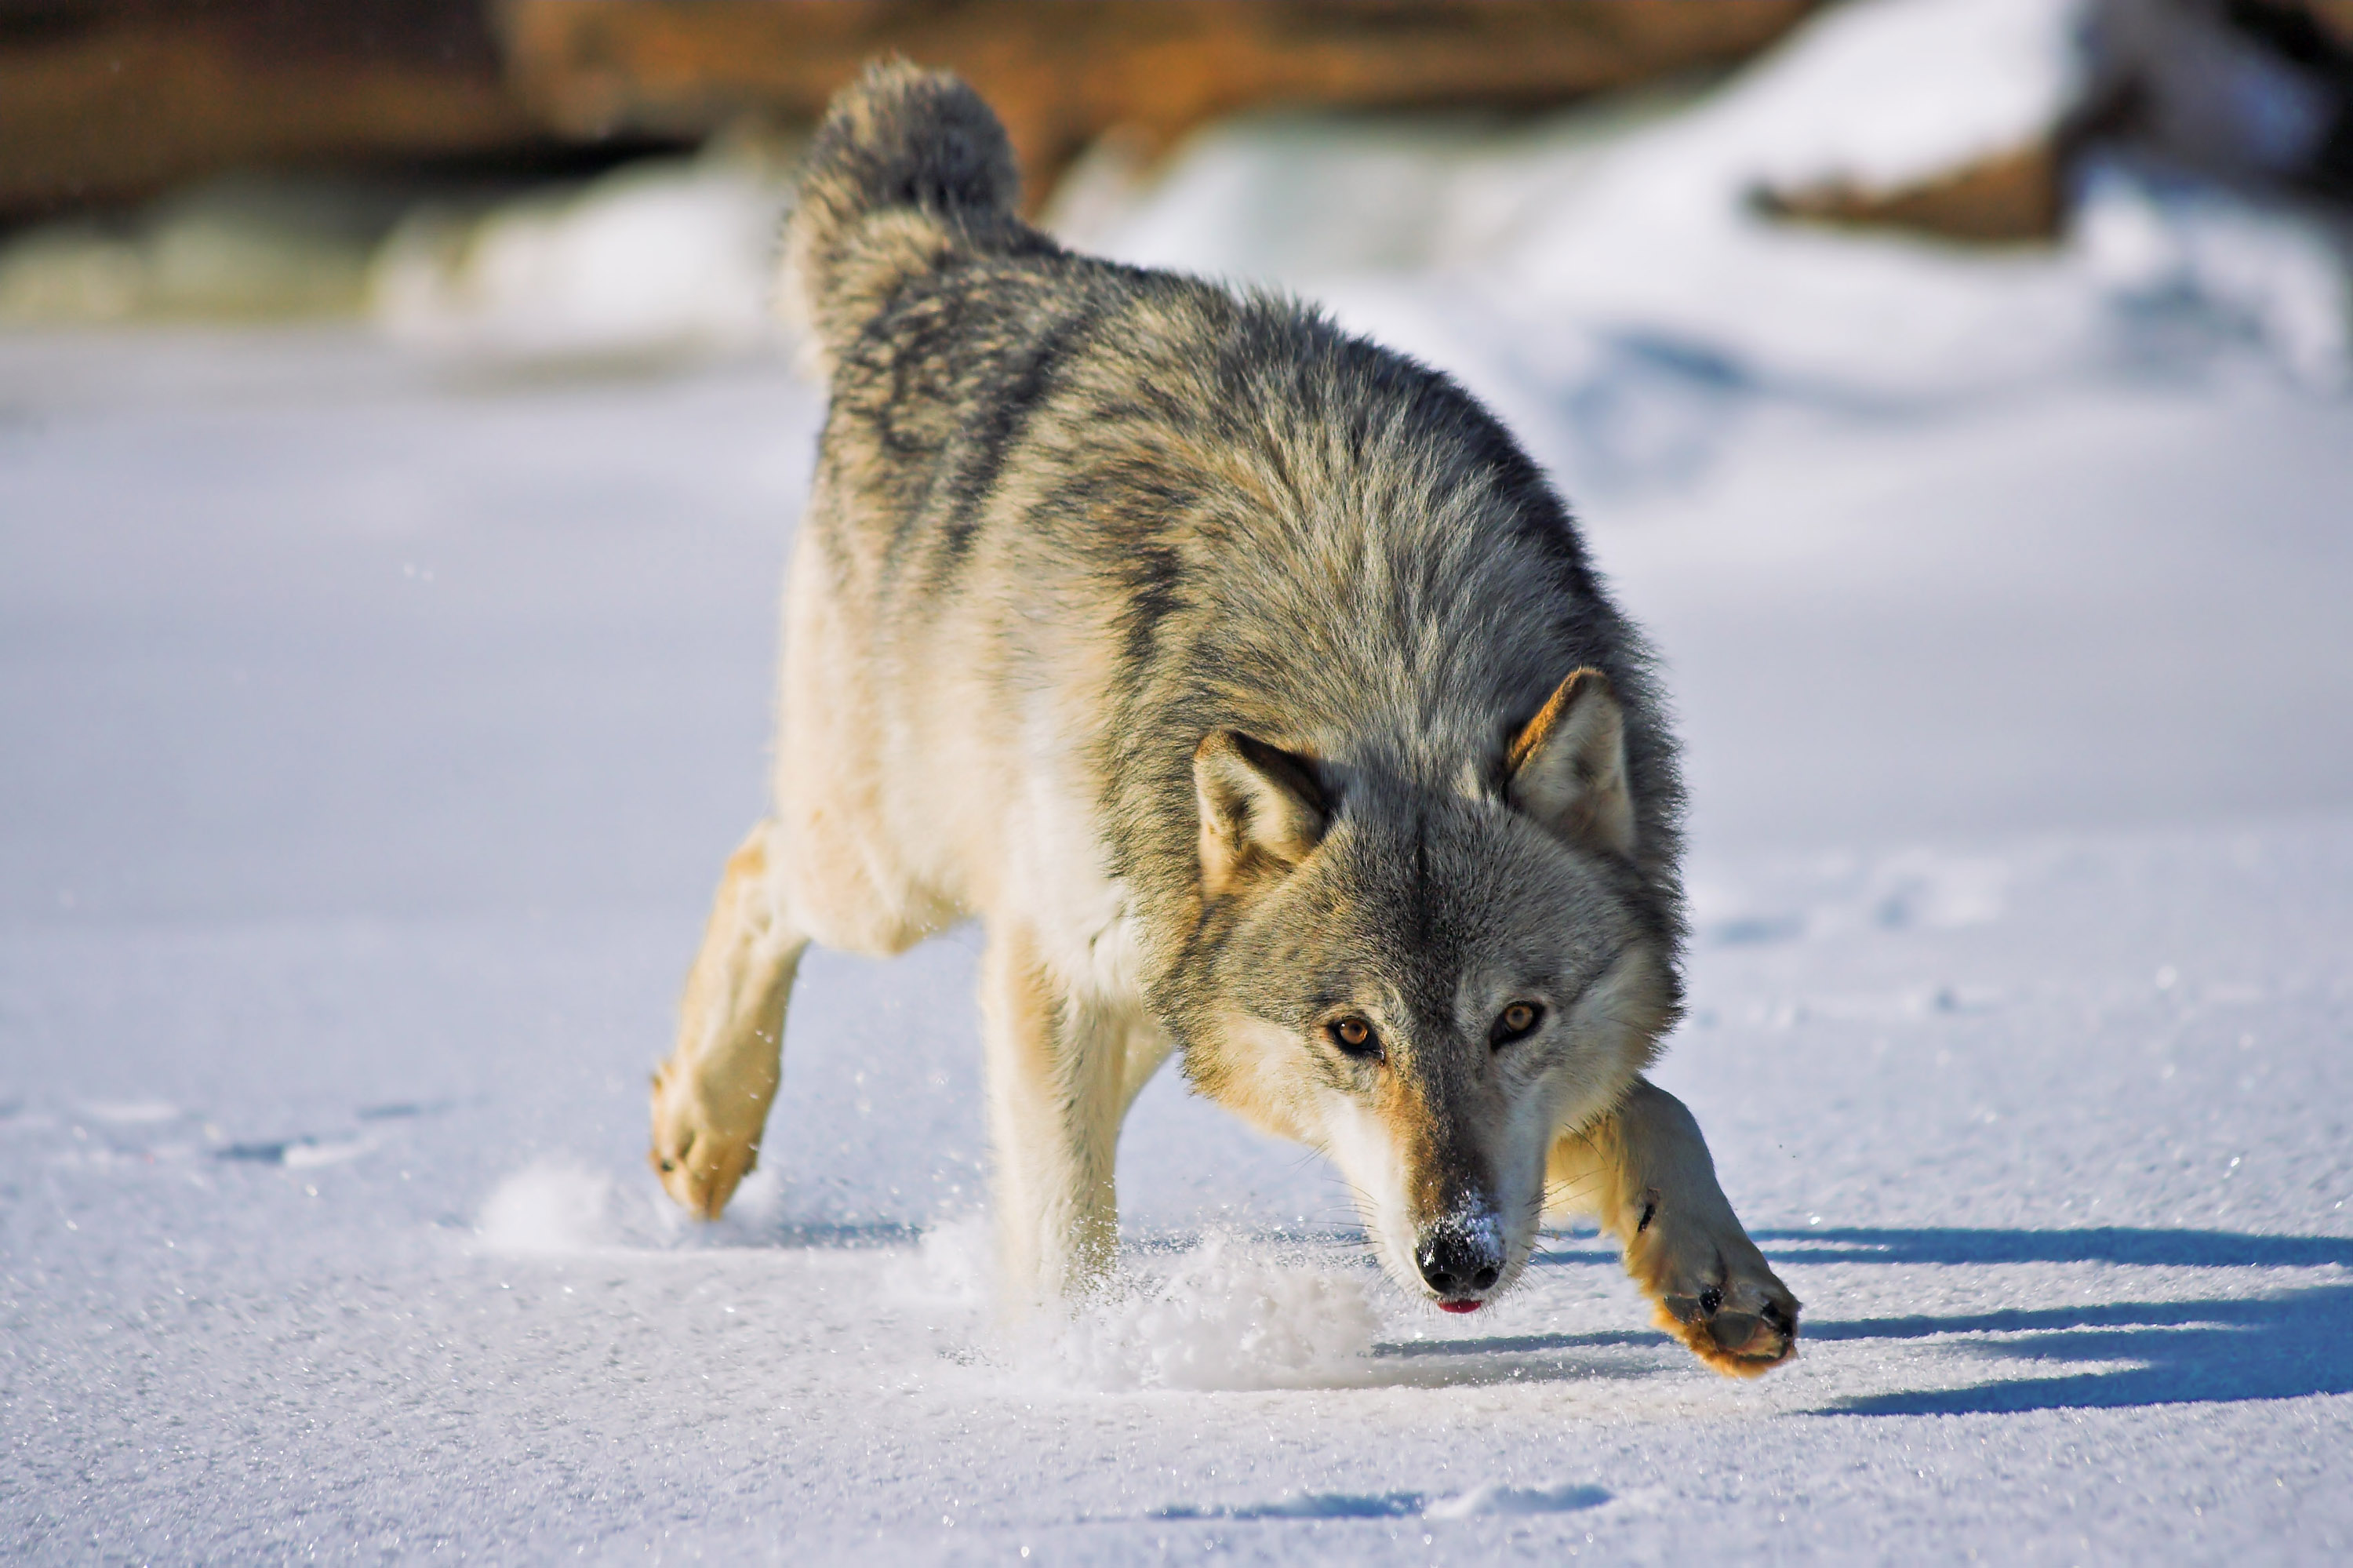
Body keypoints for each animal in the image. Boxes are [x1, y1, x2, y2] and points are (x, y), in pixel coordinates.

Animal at [649, 61, 1798, 1365]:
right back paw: (703, 1135)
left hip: (1154, 976)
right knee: (760, 865)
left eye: (1517, 1017)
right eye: (1353, 1033)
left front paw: (1715, 1270)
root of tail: (957, 255)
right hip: (906, 879)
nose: (1457, 1255)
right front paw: (1074, 1363)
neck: (1373, 635)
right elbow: (1060, 1221)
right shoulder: (1051, 971)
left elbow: (1658, 1104)